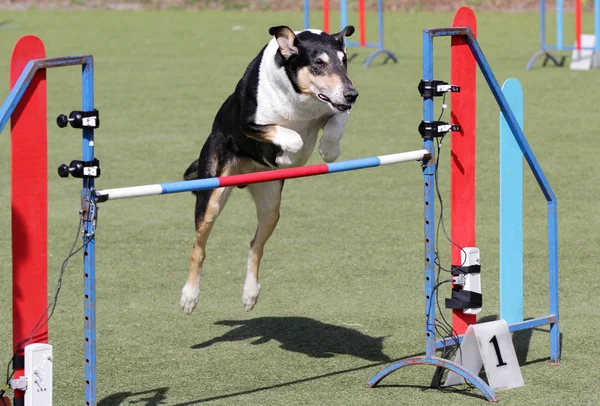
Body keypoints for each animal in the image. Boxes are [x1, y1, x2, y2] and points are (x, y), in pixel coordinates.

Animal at [178, 25, 356, 316]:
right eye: (319, 63)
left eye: (345, 61)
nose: (353, 93)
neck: (301, 99)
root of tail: (244, 176)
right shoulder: (249, 124)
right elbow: (292, 136)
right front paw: (288, 156)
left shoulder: (337, 108)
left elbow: (336, 121)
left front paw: (328, 150)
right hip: (212, 195)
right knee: (198, 247)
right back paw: (189, 296)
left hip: (271, 206)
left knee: (255, 246)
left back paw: (250, 294)